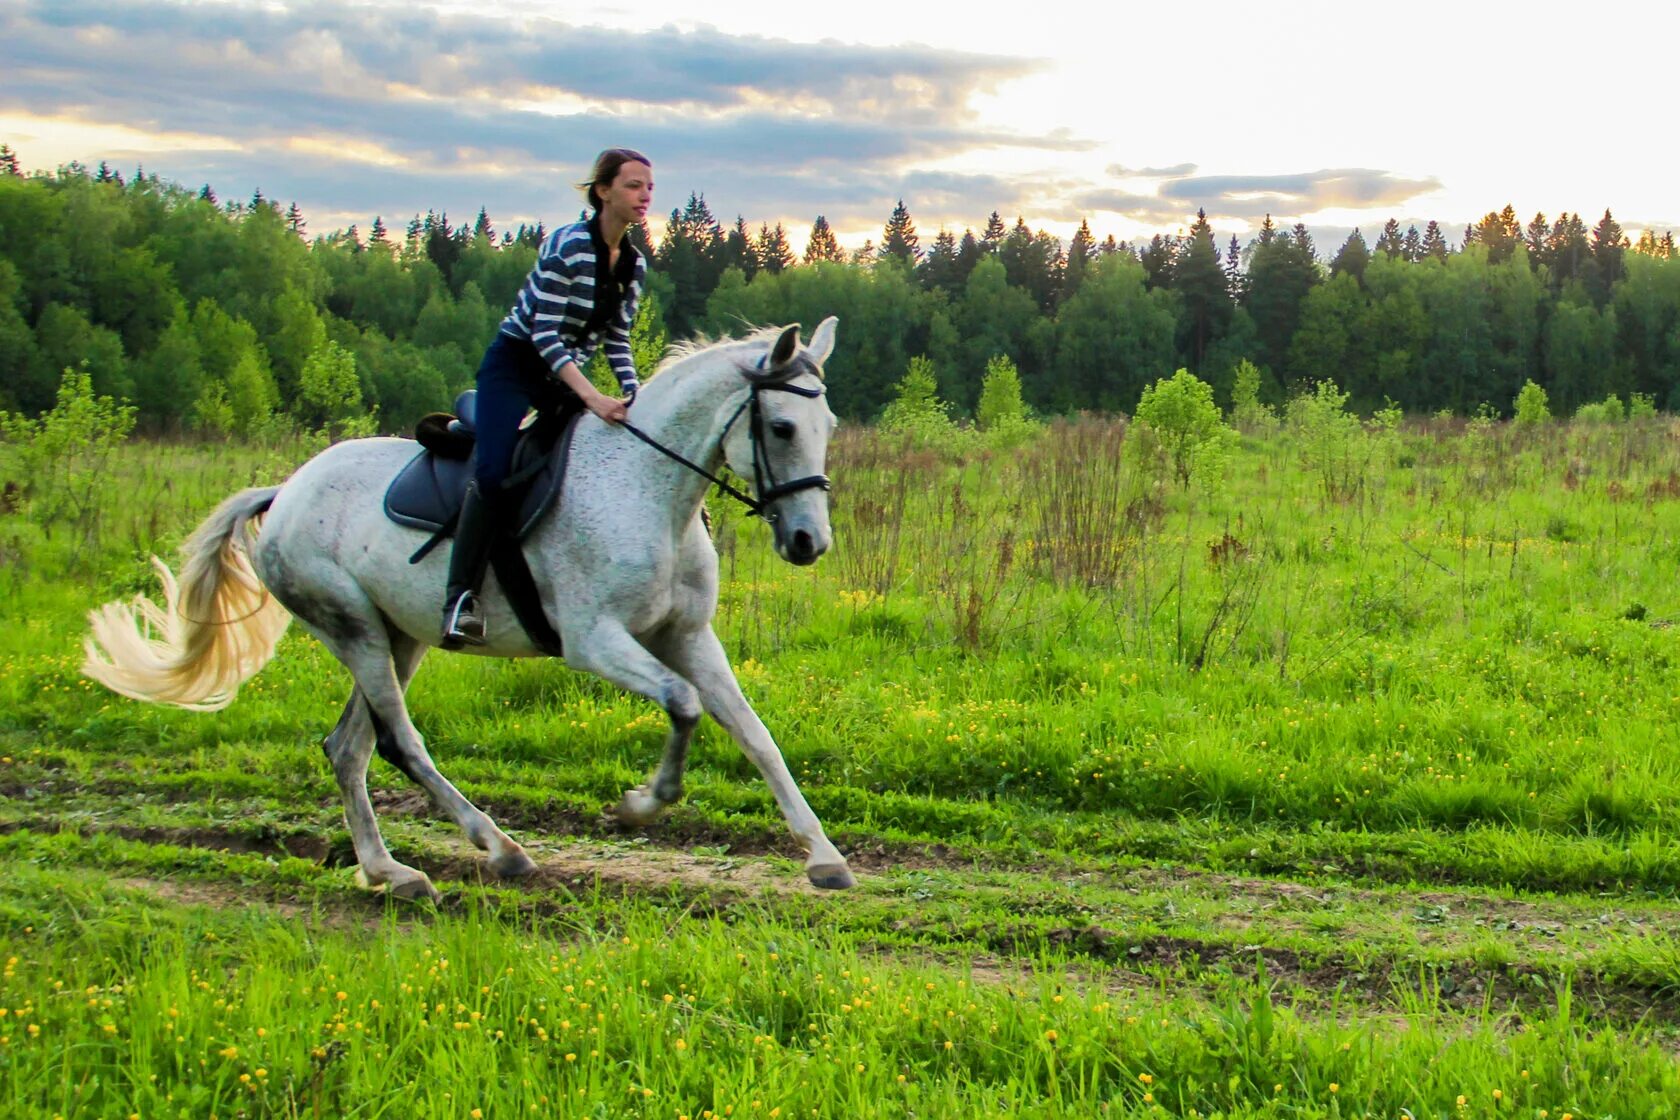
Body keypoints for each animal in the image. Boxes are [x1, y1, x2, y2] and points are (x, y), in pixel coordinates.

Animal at [85, 319, 853, 900]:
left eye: (829, 423)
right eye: (783, 427)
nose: (809, 542)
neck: (649, 493)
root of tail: (286, 490)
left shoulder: (687, 635)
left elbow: (753, 733)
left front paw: (824, 856)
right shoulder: (594, 640)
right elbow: (684, 703)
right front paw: (642, 803)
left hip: (398, 636)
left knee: (348, 748)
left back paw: (389, 871)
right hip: (353, 628)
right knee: (398, 742)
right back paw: (497, 847)